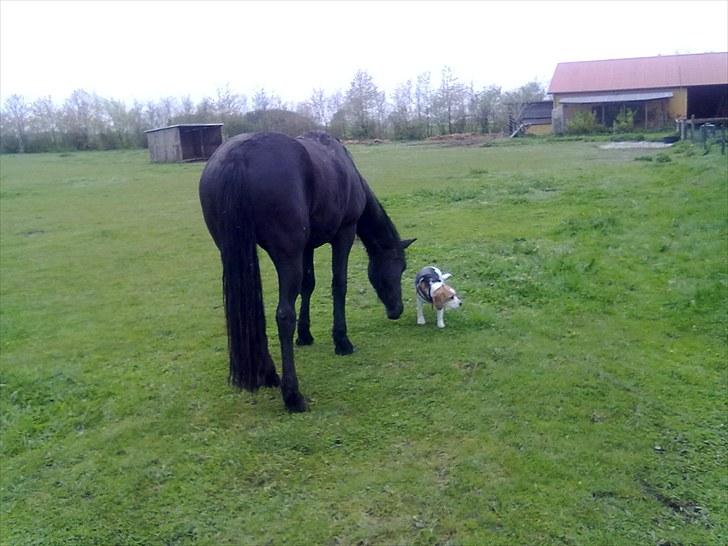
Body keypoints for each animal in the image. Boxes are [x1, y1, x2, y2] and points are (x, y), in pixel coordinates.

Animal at [199, 132, 416, 410]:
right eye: (400, 266)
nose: (396, 310)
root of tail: (237, 156)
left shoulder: (308, 246)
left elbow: (308, 286)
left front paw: (305, 335)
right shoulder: (344, 234)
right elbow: (339, 284)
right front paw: (341, 341)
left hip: (233, 251)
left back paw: (268, 374)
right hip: (286, 254)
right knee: (284, 315)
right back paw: (292, 395)